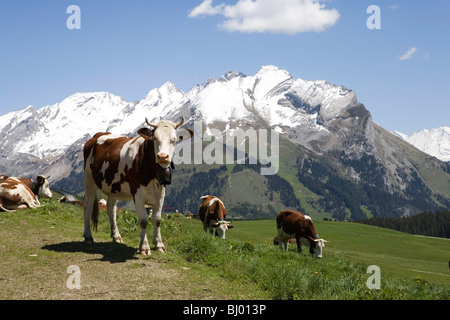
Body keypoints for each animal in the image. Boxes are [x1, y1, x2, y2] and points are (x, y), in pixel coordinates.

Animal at [82, 115, 188, 255]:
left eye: (174, 140)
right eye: (155, 138)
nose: (162, 156)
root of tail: (97, 135)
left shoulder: (161, 193)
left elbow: (157, 220)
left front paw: (159, 245)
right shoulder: (137, 194)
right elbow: (143, 221)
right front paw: (144, 247)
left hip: (113, 186)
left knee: (111, 208)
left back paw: (116, 236)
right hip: (89, 178)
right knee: (87, 204)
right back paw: (88, 236)